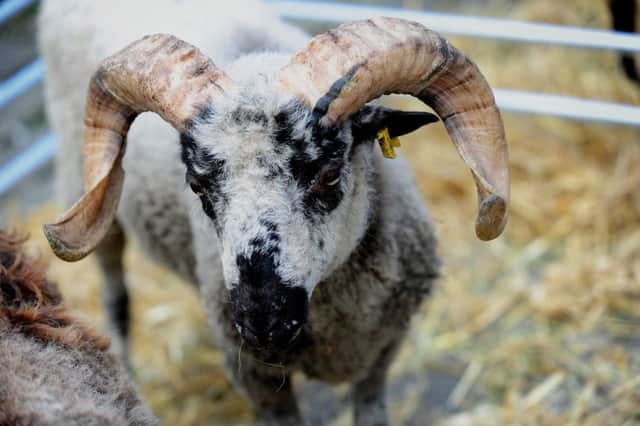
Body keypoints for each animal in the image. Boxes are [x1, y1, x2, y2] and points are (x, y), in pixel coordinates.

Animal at [40, 1, 510, 424]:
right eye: (197, 185)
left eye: (329, 174)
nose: (263, 322)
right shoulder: (255, 377)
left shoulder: (381, 354)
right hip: (93, 198)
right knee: (115, 292)